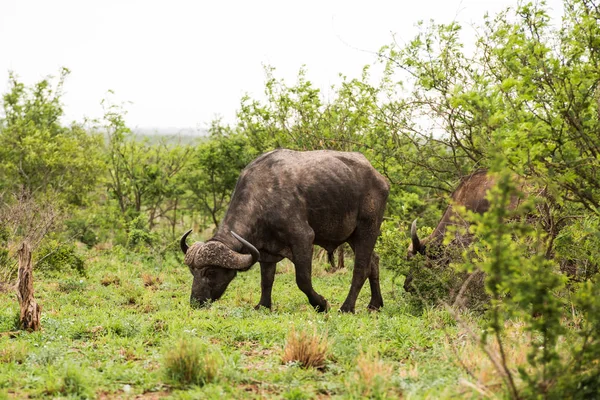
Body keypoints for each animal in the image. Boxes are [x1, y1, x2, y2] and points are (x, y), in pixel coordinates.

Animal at [180, 149, 392, 312]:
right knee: (374, 262)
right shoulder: (265, 251)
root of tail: (380, 179)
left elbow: (303, 279)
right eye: (192, 272)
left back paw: (347, 307)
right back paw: (375, 304)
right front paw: (263, 305)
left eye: (210, 272)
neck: (262, 198)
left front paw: (321, 304)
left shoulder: (303, 238)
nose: (196, 302)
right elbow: (266, 280)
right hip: (352, 236)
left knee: (361, 268)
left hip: (367, 228)